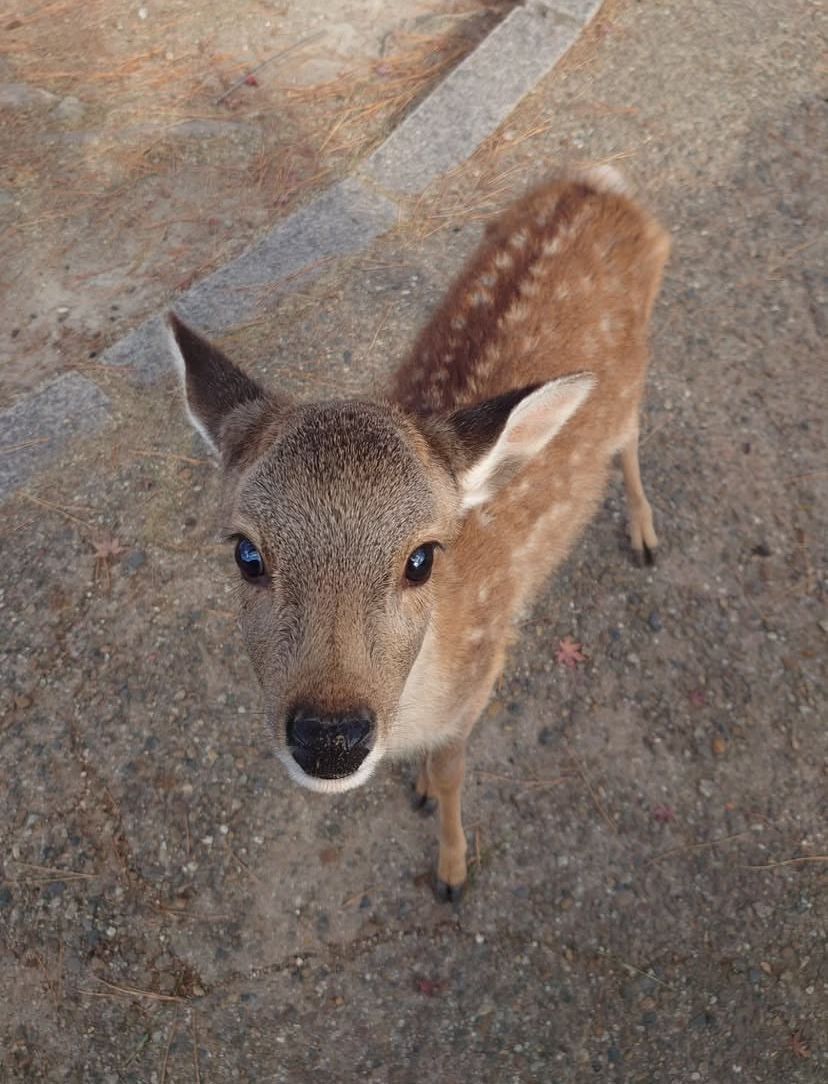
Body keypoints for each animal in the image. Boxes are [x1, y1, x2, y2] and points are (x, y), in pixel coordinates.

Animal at [167, 166, 670, 902]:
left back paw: (644, 534)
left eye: (422, 559)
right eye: (247, 554)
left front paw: (452, 867)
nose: (330, 737)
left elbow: (458, 773)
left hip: (634, 372)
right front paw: (423, 790)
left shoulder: (482, 677)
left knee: (630, 437)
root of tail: (601, 182)